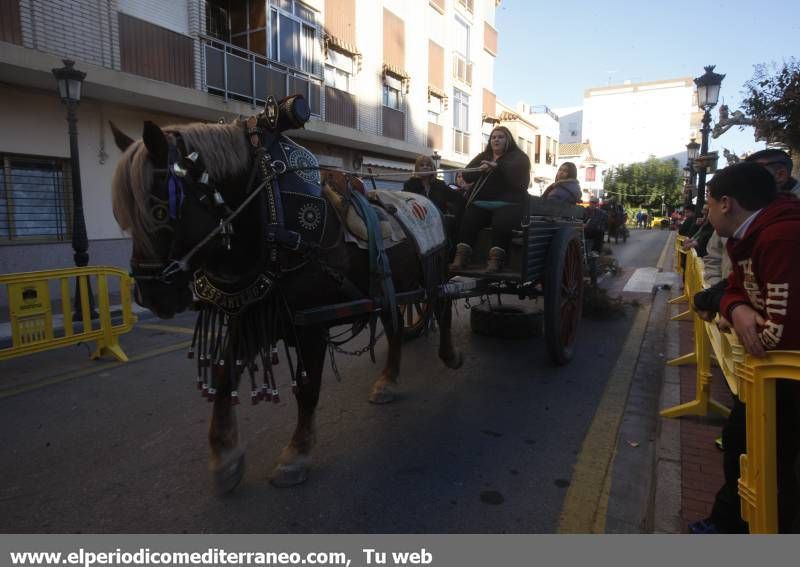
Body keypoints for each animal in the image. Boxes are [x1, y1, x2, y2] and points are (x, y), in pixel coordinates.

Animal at [109, 112, 466, 492]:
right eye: (122, 216)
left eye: (160, 211)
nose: (150, 295)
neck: (272, 220)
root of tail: (428, 202)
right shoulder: (250, 315)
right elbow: (224, 375)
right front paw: (225, 456)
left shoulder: (310, 326)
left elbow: (307, 389)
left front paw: (296, 454)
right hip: (392, 288)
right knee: (395, 327)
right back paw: (387, 380)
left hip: (433, 274)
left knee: (443, 308)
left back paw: (450, 355)